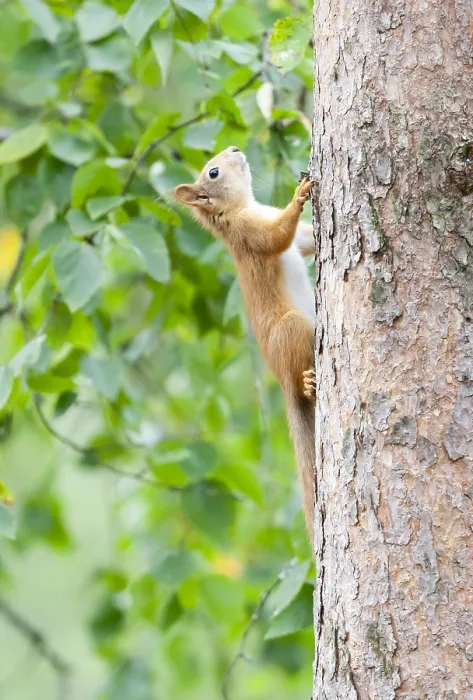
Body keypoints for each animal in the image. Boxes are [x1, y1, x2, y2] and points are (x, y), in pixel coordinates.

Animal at [174, 146, 316, 543]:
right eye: (213, 172)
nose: (235, 148)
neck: (241, 208)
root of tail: (281, 380)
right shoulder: (248, 234)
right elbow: (277, 237)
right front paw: (299, 196)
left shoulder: (293, 238)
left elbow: (307, 241)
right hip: (292, 330)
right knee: (299, 376)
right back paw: (308, 383)